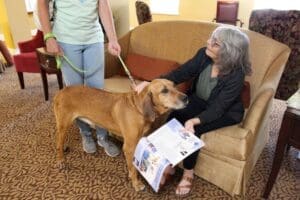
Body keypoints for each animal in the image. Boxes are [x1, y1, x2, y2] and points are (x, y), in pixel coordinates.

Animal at [52, 78, 188, 191]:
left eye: (174, 86)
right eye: (164, 90)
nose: (186, 98)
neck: (138, 107)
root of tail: (61, 91)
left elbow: (133, 165)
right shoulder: (129, 147)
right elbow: (133, 168)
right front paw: (136, 183)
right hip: (64, 124)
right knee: (58, 143)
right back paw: (61, 160)